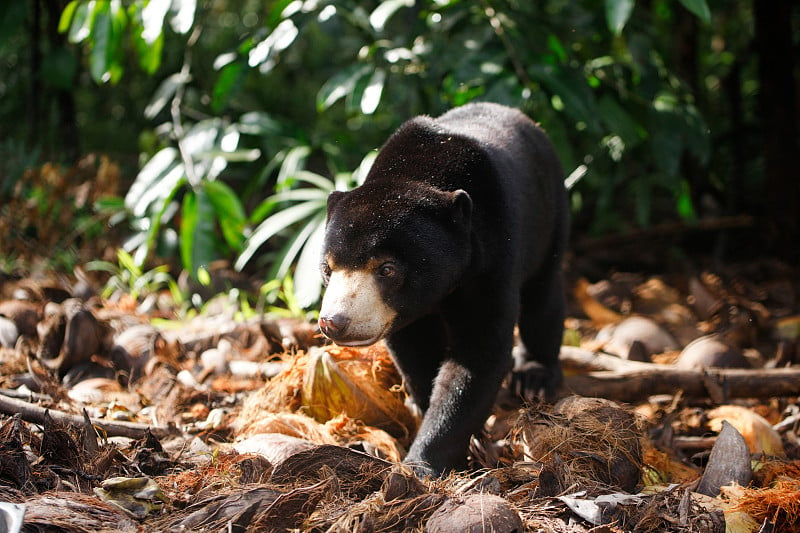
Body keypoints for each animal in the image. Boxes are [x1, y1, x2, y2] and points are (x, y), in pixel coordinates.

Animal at [318, 103, 568, 474]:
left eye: (387, 269)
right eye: (327, 268)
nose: (334, 322)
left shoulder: (492, 253)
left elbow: (478, 352)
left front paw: (424, 462)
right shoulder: (404, 314)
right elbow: (416, 351)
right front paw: (424, 410)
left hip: (550, 213)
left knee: (544, 296)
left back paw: (535, 377)